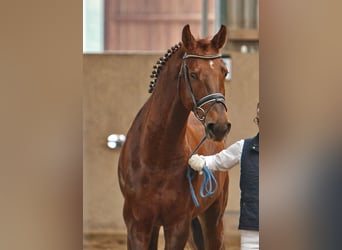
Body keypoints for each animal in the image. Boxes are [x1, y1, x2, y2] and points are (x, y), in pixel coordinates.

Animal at [118, 23, 232, 250]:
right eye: (194, 74)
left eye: (224, 72)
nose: (220, 126)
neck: (157, 157)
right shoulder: (138, 226)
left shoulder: (178, 225)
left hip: (212, 219)